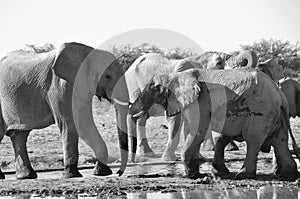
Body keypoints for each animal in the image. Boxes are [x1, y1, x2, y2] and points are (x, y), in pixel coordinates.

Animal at [0, 42, 129, 179]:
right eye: (107, 76)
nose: (118, 173)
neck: (86, 53)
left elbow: (84, 123)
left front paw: (101, 172)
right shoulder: (59, 85)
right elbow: (70, 123)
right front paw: (72, 174)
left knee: (19, 135)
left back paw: (27, 176)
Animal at [130, 67, 298, 180]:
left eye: (152, 88)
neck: (174, 75)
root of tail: (280, 96)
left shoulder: (197, 101)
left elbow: (198, 131)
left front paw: (191, 176)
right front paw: (197, 174)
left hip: (260, 113)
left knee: (253, 141)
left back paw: (243, 175)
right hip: (274, 115)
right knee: (280, 141)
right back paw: (288, 174)